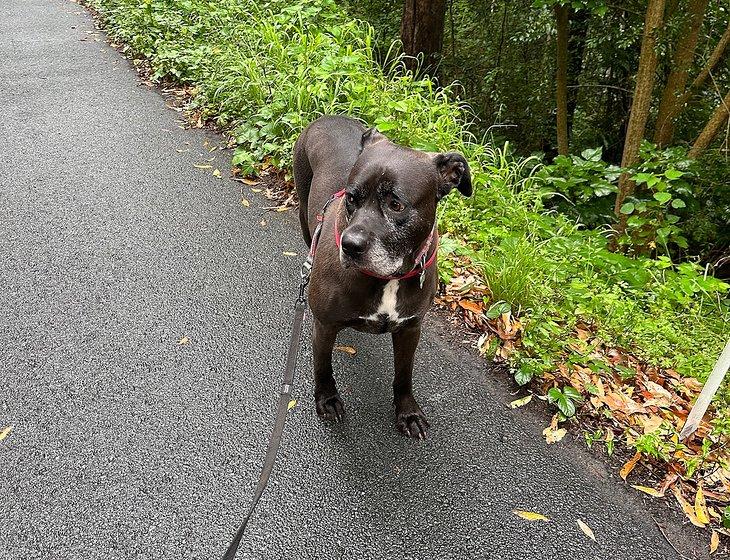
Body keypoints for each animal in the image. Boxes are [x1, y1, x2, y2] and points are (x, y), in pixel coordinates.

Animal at [292, 115, 472, 438]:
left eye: (396, 204)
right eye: (351, 198)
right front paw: (327, 399)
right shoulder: (324, 325)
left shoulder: (410, 329)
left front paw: (407, 411)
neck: (390, 277)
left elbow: (404, 374)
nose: (349, 245)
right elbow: (323, 368)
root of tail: (329, 116)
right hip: (303, 213)